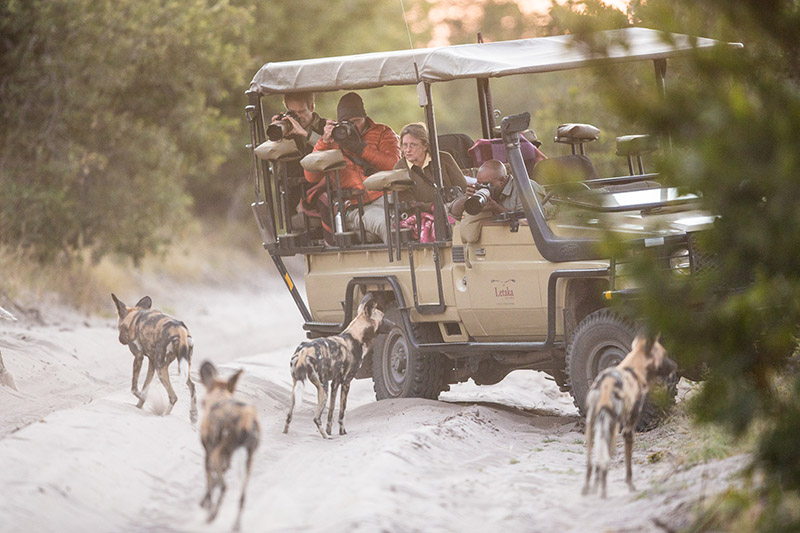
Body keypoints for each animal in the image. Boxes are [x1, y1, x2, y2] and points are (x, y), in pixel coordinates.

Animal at [111, 294, 198, 422]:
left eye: (119, 327)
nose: (120, 339)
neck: (133, 319)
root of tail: (180, 329)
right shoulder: (151, 363)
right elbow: (145, 386)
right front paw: (139, 406)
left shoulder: (138, 357)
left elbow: (135, 389)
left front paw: (142, 399)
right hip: (182, 367)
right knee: (192, 386)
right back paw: (193, 415)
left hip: (160, 368)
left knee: (173, 397)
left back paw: (164, 415)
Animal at [199, 360, 260, 528]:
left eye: (202, 403)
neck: (219, 395)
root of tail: (244, 417)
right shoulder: (226, 457)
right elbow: (213, 481)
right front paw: (205, 502)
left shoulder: (210, 455)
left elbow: (210, 482)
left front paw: (206, 503)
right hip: (248, 459)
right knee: (242, 497)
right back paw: (236, 526)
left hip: (216, 453)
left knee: (224, 487)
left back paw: (212, 516)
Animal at [284, 294, 394, 438]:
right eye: (384, 317)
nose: (395, 324)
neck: (355, 337)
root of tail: (304, 350)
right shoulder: (346, 382)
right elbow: (342, 412)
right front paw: (342, 432)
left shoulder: (335, 382)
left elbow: (331, 412)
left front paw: (330, 430)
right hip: (323, 389)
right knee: (316, 418)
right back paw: (326, 437)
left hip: (297, 388)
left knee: (289, 415)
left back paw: (288, 432)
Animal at [580, 334, 676, 496]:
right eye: (665, 355)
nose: (675, 366)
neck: (633, 369)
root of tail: (605, 385)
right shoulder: (628, 429)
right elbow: (628, 463)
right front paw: (630, 484)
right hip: (611, 428)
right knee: (604, 461)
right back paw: (603, 493)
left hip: (592, 427)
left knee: (590, 463)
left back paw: (588, 489)